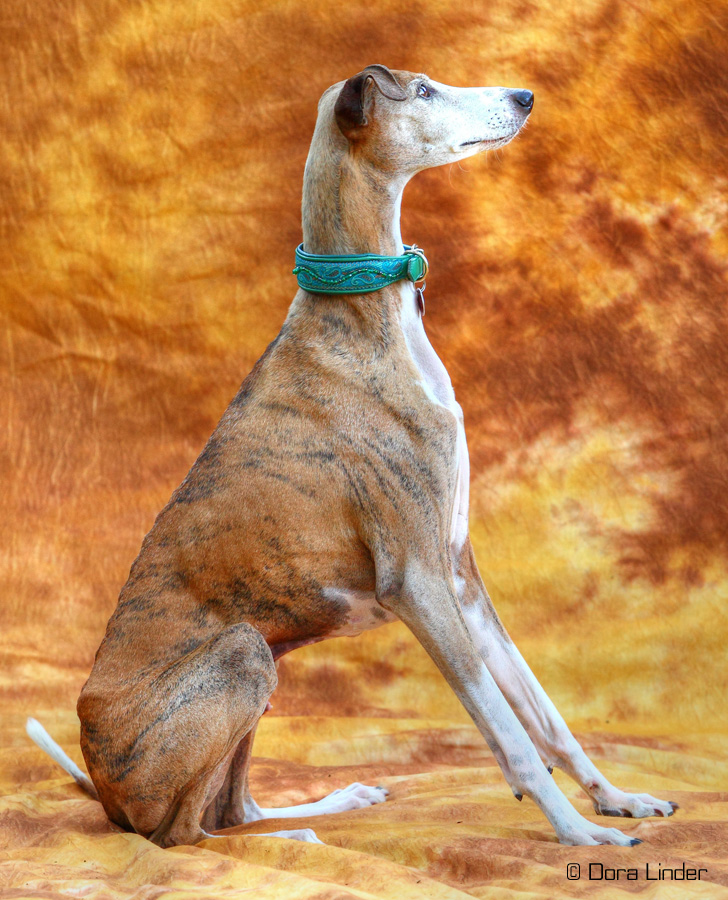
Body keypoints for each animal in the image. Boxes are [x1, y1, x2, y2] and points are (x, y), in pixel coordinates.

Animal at [28, 64, 677, 849]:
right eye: (421, 90)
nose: (525, 97)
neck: (366, 315)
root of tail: (102, 786)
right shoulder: (417, 582)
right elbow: (510, 734)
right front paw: (579, 833)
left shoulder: (459, 576)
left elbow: (543, 711)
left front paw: (617, 799)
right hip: (243, 655)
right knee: (184, 836)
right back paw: (294, 840)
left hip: (264, 675)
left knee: (233, 808)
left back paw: (333, 803)